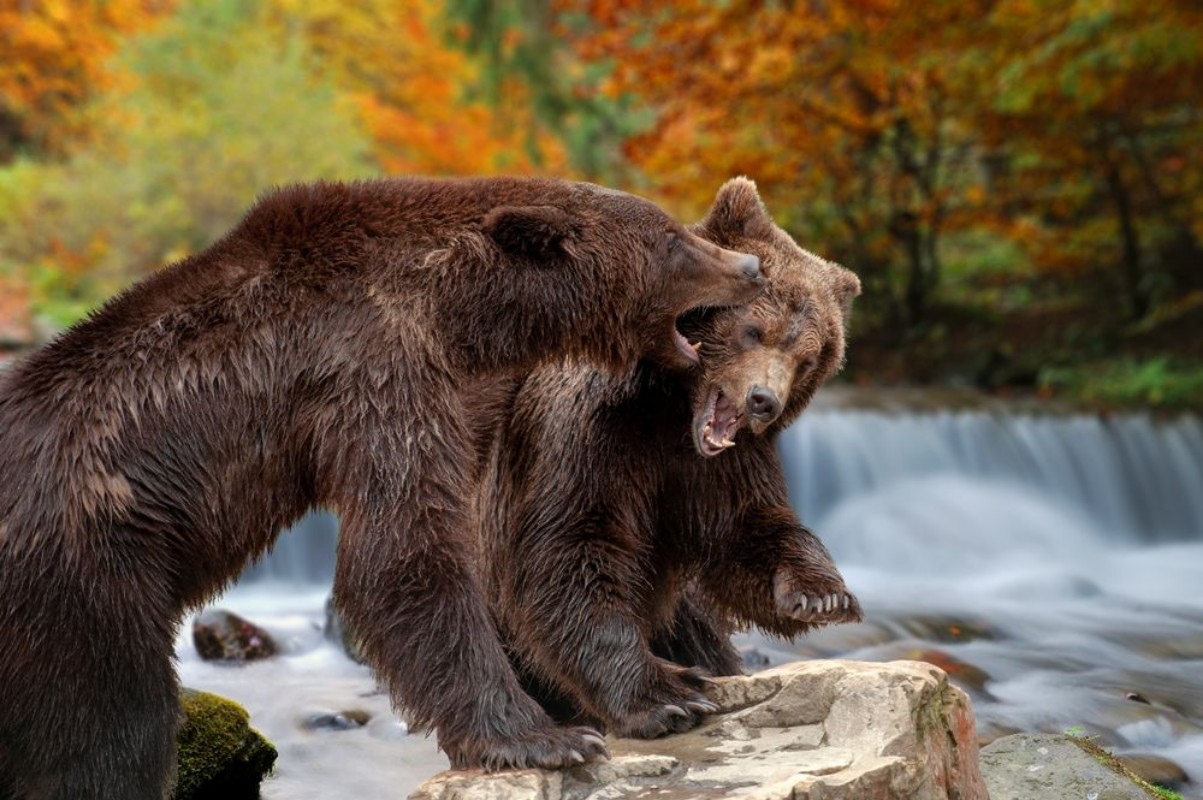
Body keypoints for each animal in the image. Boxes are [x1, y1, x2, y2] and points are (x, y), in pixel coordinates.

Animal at [0, 176, 765, 800]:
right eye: (671, 239)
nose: (752, 266)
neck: (457, 310)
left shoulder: (460, 391)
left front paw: (682, 677)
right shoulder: (377, 366)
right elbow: (405, 555)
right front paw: (558, 733)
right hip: (88, 581)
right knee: (116, 729)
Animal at [474, 177, 863, 738]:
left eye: (808, 357)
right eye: (753, 330)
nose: (763, 401)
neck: (671, 411)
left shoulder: (718, 470)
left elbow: (748, 532)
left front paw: (822, 595)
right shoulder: (591, 439)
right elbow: (572, 551)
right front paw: (666, 698)